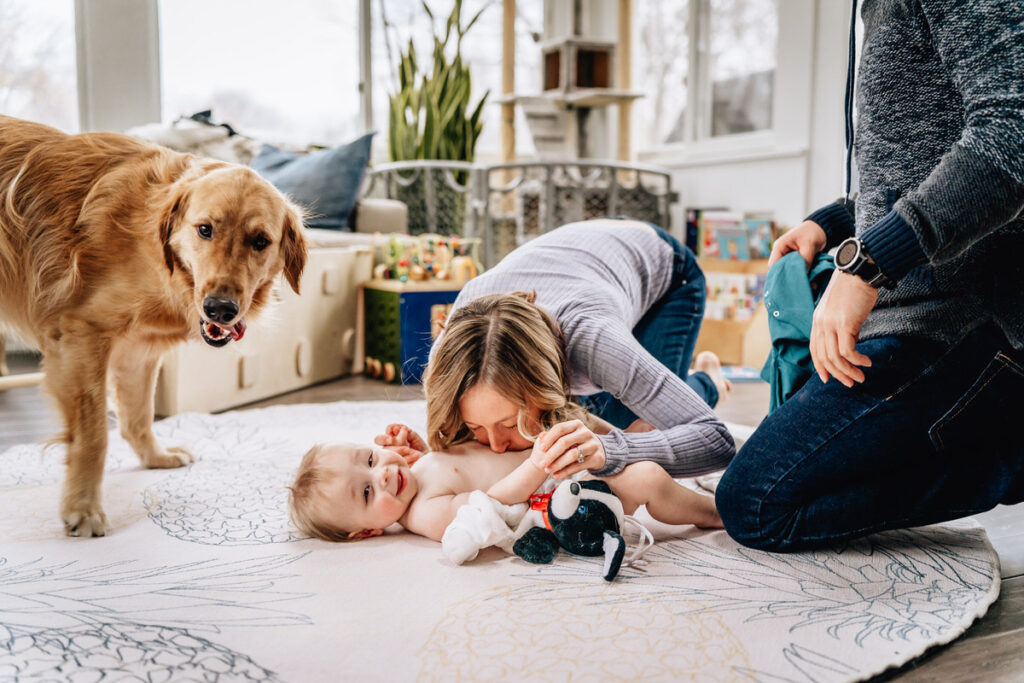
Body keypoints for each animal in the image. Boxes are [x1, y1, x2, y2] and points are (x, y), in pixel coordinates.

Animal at [0, 114, 307, 536]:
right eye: (205, 229)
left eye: (260, 241)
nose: (220, 310)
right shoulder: (81, 335)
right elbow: (93, 435)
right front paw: (83, 508)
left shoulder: (138, 349)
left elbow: (138, 415)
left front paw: (155, 457)